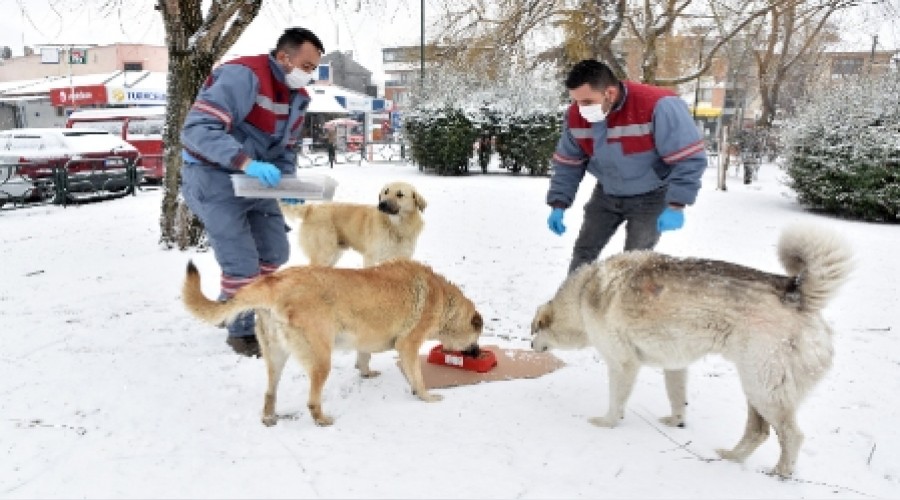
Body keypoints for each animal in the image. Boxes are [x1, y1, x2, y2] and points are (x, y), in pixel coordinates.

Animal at [179, 260, 482, 428]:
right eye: (476, 339)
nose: (478, 353)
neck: (443, 298)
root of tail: (275, 281)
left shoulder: (366, 339)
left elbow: (364, 358)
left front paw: (366, 373)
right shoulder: (408, 345)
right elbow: (417, 378)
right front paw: (426, 396)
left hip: (275, 357)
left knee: (269, 393)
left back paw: (269, 418)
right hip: (321, 360)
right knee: (312, 401)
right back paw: (322, 420)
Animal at [280, 183, 428, 270]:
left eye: (400, 194)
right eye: (385, 192)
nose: (381, 204)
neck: (396, 226)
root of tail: (311, 208)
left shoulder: (402, 258)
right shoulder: (370, 257)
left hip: (334, 254)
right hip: (324, 253)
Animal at [532, 225, 856, 478]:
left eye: (533, 331)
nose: (530, 345)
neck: (584, 294)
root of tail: (797, 295)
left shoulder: (622, 364)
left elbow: (616, 403)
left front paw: (607, 423)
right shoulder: (675, 365)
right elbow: (678, 399)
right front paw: (677, 422)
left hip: (763, 389)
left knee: (792, 436)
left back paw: (780, 473)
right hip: (756, 390)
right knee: (759, 432)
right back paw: (731, 457)